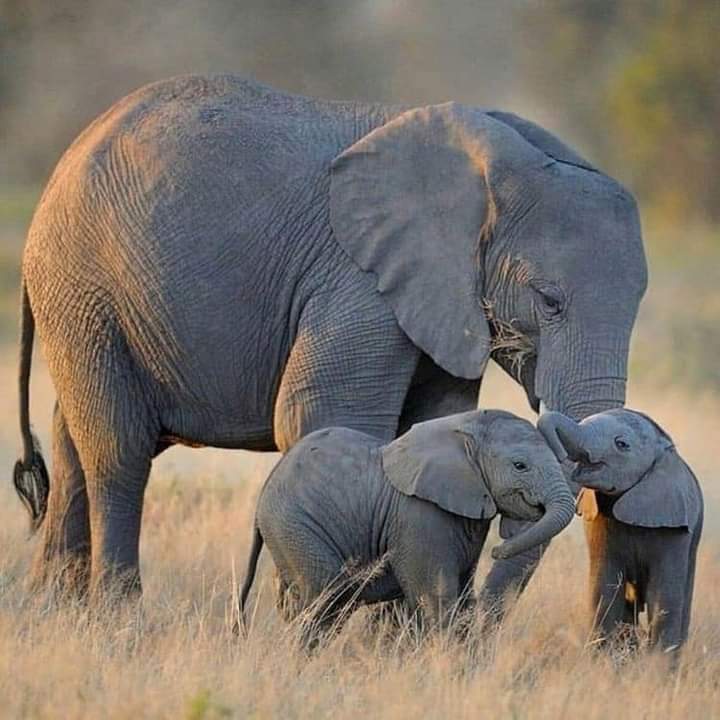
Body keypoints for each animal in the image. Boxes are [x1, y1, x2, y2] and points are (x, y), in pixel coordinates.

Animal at [13, 74, 647, 600]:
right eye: (549, 301)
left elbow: (431, 424)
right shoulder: (357, 280)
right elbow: (324, 415)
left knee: (72, 446)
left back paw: (58, 614)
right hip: (84, 288)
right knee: (117, 453)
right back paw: (119, 618)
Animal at [238, 410, 575, 646]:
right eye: (520, 466)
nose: (498, 549)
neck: (465, 428)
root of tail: (264, 494)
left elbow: (464, 599)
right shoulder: (420, 517)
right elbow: (437, 599)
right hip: (295, 526)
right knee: (325, 600)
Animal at [538, 409, 703, 653]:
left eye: (621, 444)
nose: (560, 456)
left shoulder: (674, 529)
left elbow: (664, 597)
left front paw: (657, 664)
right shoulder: (598, 521)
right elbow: (604, 589)